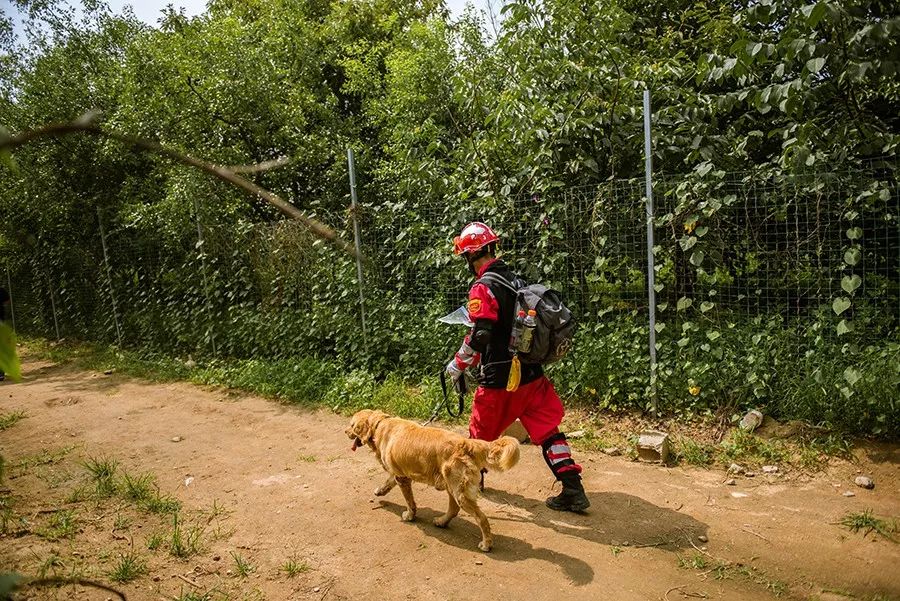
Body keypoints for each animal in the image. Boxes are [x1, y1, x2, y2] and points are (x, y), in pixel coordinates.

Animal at [350, 406, 524, 552]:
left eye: (351, 425)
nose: (346, 431)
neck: (380, 425)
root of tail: (467, 443)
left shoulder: (402, 478)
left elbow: (409, 502)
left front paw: (410, 516)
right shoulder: (400, 474)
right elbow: (388, 482)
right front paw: (380, 491)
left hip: (459, 492)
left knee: (481, 518)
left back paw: (486, 544)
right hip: (452, 487)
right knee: (454, 510)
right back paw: (441, 521)